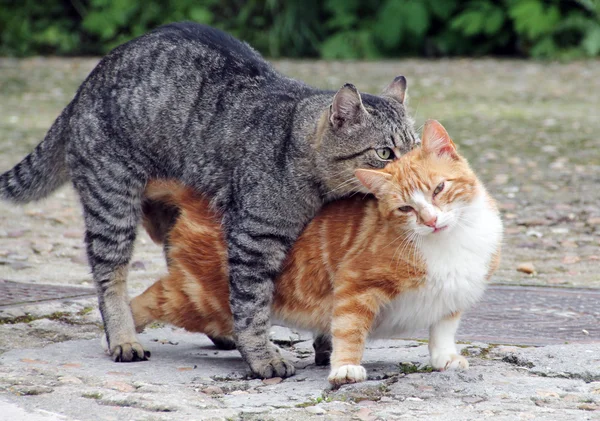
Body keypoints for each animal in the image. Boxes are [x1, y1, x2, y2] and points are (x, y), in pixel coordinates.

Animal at [1, 23, 418, 378]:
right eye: (385, 153)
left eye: (414, 147)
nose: (414, 172)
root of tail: (88, 81)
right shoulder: (254, 239)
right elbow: (252, 305)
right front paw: (262, 356)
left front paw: (326, 345)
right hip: (112, 204)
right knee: (109, 280)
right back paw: (123, 338)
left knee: (191, 278)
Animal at [131, 120, 502, 384]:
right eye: (405, 208)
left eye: (439, 188)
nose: (431, 220)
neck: (450, 243)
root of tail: (205, 199)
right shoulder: (356, 285)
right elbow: (349, 329)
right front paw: (346, 368)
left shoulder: (452, 296)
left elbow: (443, 330)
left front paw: (444, 358)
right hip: (199, 299)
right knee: (145, 300)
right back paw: (125, 336)